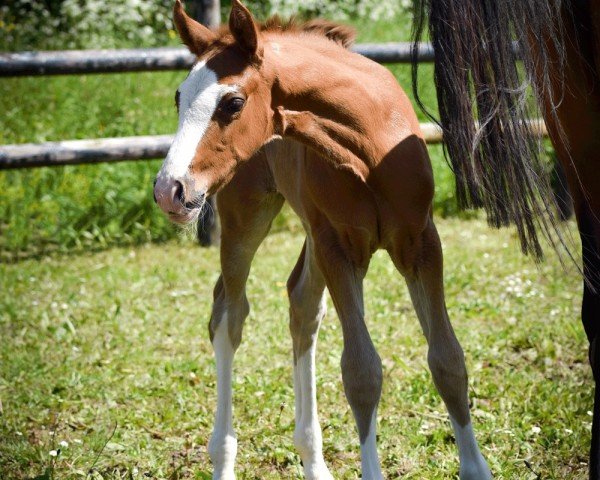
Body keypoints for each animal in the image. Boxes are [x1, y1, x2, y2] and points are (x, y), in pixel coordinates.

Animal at [154, 1, 492, 478]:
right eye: (179, 97)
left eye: (232, 102)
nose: (169, 190)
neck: (369, 143)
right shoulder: (340, 248)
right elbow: (362, 371)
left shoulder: (420, 243)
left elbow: (447, 359)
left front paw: (476, 467)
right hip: (247, 216)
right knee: (229, 314)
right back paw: (223, 457)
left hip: (312, 233)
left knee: (301, 304)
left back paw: (312, 459)